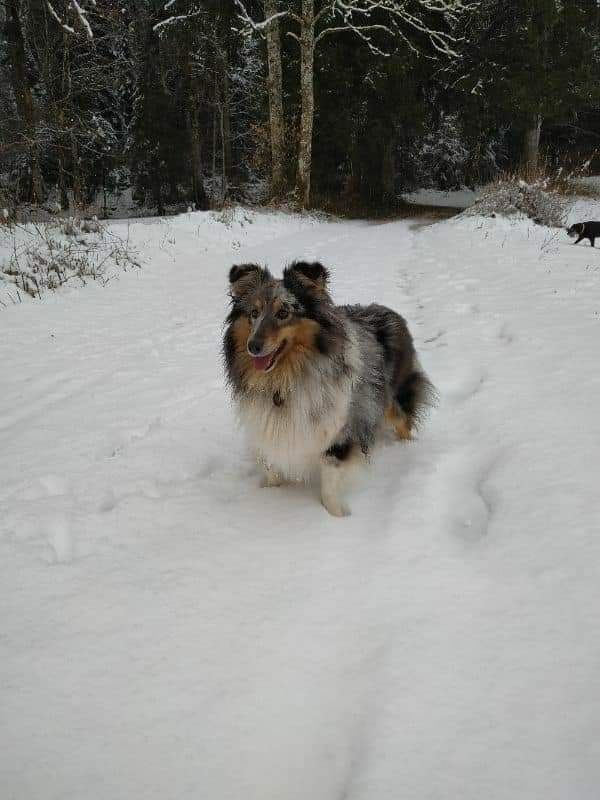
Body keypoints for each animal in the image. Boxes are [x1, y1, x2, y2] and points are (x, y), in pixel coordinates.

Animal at [223, 260, 434, 516]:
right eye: (253, 313)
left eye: (284, 313)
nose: (253, 346)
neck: (284, 381)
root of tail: (387, 310)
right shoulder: (265, 429)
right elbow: (271, 468)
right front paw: (271, 495)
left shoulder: (339, 428)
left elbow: (330, 478)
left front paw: (336, 515)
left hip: (394, 399)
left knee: (405, 421)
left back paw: (406, 450)